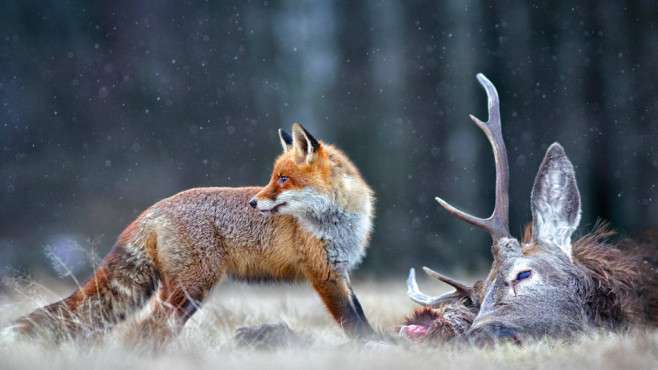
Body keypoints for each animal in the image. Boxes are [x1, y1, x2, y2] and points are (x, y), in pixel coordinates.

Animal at [5, 123, 374, 344]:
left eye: (283, 179)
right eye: (273, 177)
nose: (254, 202)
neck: (339, 221)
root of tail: (153, 209)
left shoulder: (341, 272)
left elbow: (360, 314)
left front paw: (378, 342)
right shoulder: (324, 274)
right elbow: (351, 322)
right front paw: (368, 348)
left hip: (183, 291)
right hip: (191, 289)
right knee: (147, 330)